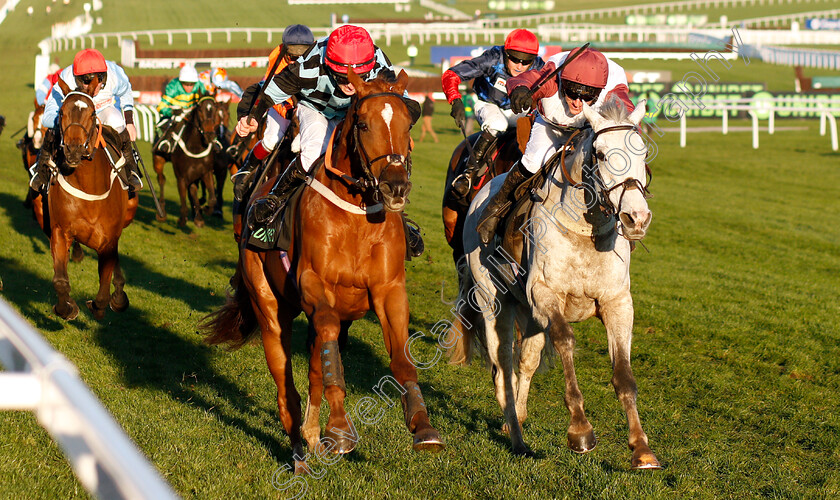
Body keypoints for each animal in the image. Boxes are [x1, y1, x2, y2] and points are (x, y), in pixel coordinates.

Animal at [46, 78, 138, 320]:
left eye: (92, 113)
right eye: (62, 111)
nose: (74, 150)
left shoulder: (108, 240)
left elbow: (102, 295)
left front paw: (106, 301)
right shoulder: (60, 232)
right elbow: (60, 282)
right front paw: (68, 307)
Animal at [152, 96, 223, 229]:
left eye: (215, 110)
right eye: (200, 110)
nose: (210, 136)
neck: (195, 147)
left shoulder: (206, 172)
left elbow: (212, 199)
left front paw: (205, 210)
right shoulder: (181, 176)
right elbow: (183, 198)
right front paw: (182, 219)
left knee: (193, 189)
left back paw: (198, 217)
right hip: (158, 159)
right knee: (161, 179)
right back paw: (161, 212)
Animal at [202, 69, 446, 472]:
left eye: (408, 122)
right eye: (363, 124)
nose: (396, 186)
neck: (357, 214)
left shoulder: (389, 289)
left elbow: (401, 359)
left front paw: (422, 425)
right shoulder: (313, 284)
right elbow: (329, 354)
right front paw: (341, 428)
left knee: (317, 368)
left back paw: (315, 437)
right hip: (268, 305)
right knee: (286, 386)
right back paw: (299, 453)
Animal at [456, 98, 660, 468]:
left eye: (641, 152)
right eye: (602, 154)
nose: (636, 218)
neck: (583, 230)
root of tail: (481, 196)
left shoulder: (618, 303)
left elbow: (624, 374)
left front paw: (641, 448)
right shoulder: (546, 294)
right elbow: (565, 341)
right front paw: (580, 430)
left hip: (529, 312)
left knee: (527, 359)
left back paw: (517, 418)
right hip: (493, 301)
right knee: (502, 366)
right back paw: (516, 434)